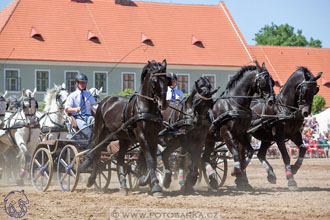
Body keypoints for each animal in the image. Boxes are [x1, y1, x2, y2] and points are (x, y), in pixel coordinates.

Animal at [86, 58, 171, 196]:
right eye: (154, 81)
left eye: (167, 80)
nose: (163, 104)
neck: (146, 107)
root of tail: (105, 101)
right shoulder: (141, 136)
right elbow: (149, 159)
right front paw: (155, 185)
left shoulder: (153, 136)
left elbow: (152, 159)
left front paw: (145, 180)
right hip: (100, 132)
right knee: (97, 153)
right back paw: (91, 179)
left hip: (124, 138)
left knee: (120, 158)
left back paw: (123, 185)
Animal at [201, 62, 276, 190]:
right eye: (263, 82)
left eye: (272, 81)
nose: (271, 100)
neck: (234, 105)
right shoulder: (226, 133)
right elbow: (236, 153)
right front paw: (236, 172)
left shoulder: (241, 134)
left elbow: (249, 152)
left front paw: (240, 176)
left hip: (209, 140)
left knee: (205, 158)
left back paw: (212, 180)